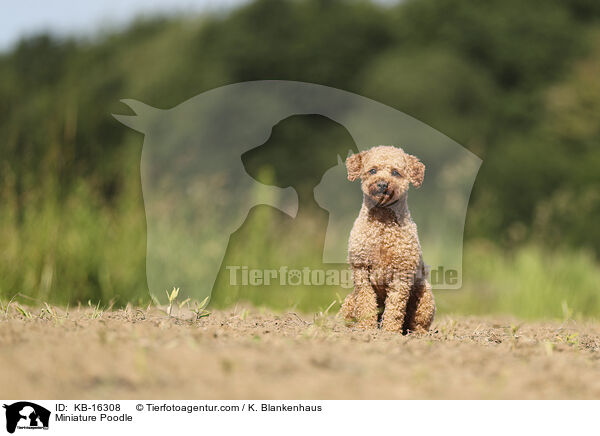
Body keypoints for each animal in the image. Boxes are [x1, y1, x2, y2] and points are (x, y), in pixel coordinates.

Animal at [340, 146, 434, 334]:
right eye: (372, 170)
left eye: (395, 172)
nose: (382, 184)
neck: (382, 224)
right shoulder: (361, 270)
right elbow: (365, 302)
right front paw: (366, 328)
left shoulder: (401, 273)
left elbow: (395, 309)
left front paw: (390, 332)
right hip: (348, 301)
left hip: (425, 295)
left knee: (417, 322)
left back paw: (417, 334)